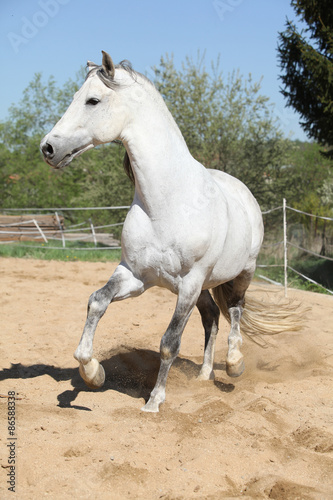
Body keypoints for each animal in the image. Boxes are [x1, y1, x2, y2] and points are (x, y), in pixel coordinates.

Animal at [39, 50, 296, 412]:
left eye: (92, 100)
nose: (48, 148)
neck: (166, 204)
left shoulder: (188, 284)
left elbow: (169, 342)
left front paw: (154, 402)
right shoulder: (135, 276)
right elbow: (96, 302)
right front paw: (92, 373)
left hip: (241, 273)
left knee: (235, 311)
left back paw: (234, 365)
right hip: (202, 288)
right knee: (212, 318)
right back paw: (204, 376)